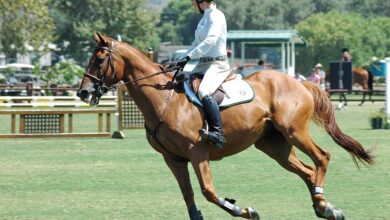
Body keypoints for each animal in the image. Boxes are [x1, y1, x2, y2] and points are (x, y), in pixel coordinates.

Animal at [77, 33, 374, 220]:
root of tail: (299, 83)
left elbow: (208, 192)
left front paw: (243, 210)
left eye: (100, 60)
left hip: (294, 132)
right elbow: (189, 198)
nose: (83, 92)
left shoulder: (197, 152)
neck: (164, 99)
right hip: (274, 145)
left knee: (321, 158)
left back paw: (323, 204)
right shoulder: (173, 159)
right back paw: (326, 208)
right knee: (308, 171)